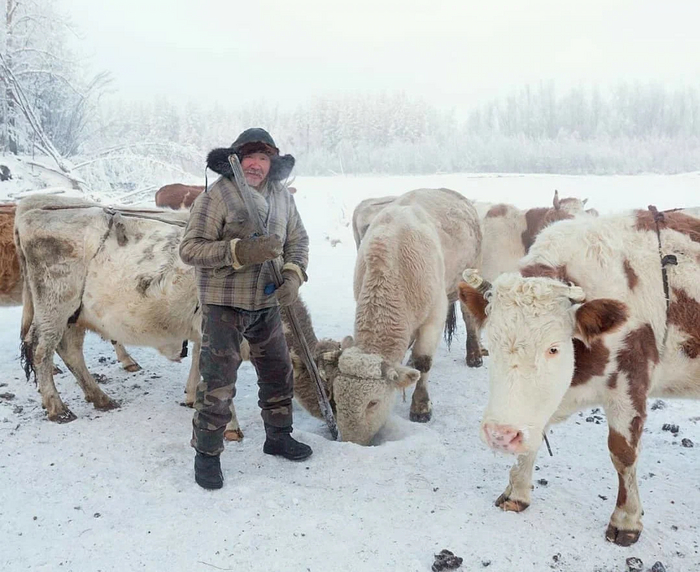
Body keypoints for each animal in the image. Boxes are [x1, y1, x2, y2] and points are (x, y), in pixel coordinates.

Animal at [316, 188, 482, 442]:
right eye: (335, 397)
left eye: (373, 403)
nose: (351, 442)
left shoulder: (435, 315)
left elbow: (425, 362)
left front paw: (421, 407)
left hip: (467, 275)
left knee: (468, 314)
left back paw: (474, 355)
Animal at [460, 208, 700, 548]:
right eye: (490, 346)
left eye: (553, 348)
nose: (500, 435)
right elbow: (534, 433)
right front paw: (516, 492)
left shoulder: (629, 385)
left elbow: (623, 453)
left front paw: (626, 520)